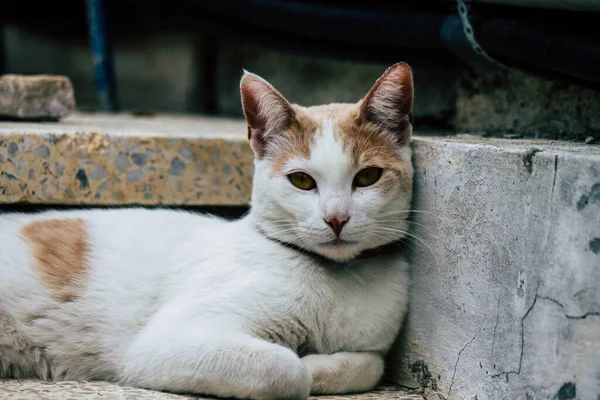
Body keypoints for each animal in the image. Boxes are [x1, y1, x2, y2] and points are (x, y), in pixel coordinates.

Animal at [0, 62, 412, 400]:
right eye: (301, 181)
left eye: (368, 177)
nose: (336, 218)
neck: (337, 280)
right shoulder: (165, 342)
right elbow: (287, 371)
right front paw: (305, 365)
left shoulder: (372, 349)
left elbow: (371, 365)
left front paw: (319, 365)